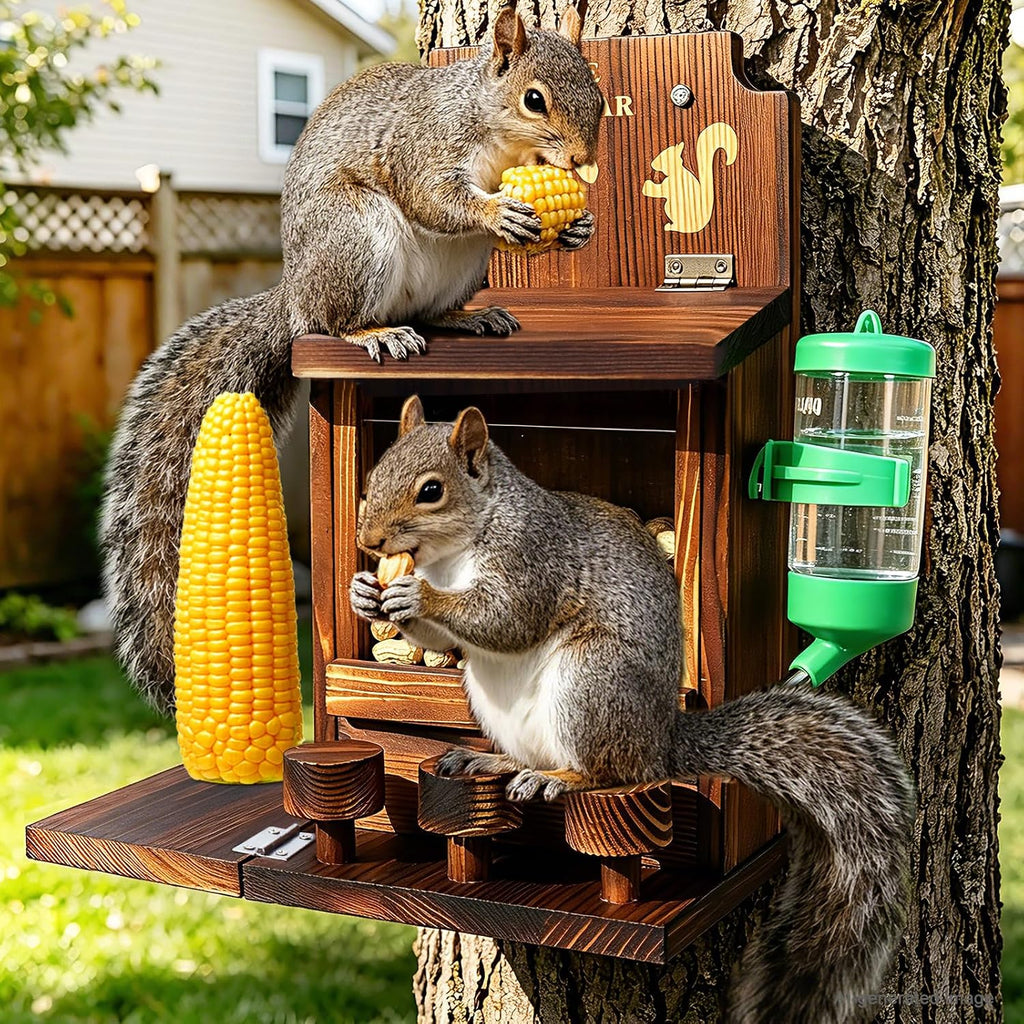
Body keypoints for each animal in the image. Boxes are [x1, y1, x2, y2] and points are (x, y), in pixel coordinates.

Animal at [100, 4, 604, 715]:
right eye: (534, 99)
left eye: (598, 94)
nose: (586, 160)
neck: (500, 137)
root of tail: (294, 295)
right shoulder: (424, 146)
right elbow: (436, 198)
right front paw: (496, 210)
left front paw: (577, 228)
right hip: (357, 235)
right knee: (337, 321)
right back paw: (376, 332)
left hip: (456, 269)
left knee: (431, 311)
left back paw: (465, 317)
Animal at [350, 396, 916, 1024]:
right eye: (373, 477)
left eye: (431, 491)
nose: (370, 540)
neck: (455, 551)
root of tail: (662, 738)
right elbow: (442, 640)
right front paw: (367, 593)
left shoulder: (531, 559)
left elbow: (504, 617)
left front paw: (420, 597)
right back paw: (495, 763)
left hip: (592, 681)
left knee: (609, 770)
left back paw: (561, 778)